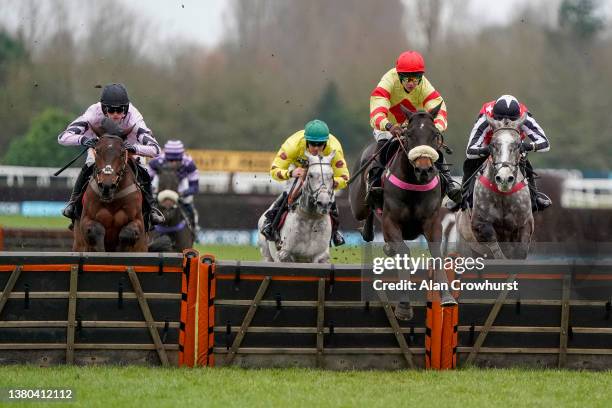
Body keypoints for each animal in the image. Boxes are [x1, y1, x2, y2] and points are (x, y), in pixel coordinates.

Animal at [71, 118, 147, 252]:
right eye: (97, 150)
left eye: (122, 153)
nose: (107, 187)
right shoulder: (86, 220)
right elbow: (95, 230)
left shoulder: (138, 222)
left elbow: (128, 233)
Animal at [352, 104, 456, 318]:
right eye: (409, 134)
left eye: (435, 134)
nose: (424, 170)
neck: (414, 185)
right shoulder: (391, 223)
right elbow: (405, 253)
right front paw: (403, 306)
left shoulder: (432, 223)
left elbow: (437, 254)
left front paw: (447, 297)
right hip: (358, 204)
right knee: (366, 214)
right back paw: (367, 230)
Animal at [456, 113, 532, 258]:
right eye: (493, 144)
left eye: (518, 145)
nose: (504, 179)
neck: (503, 195)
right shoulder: (481, 225)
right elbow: (497, 251)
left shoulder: (524, 226)